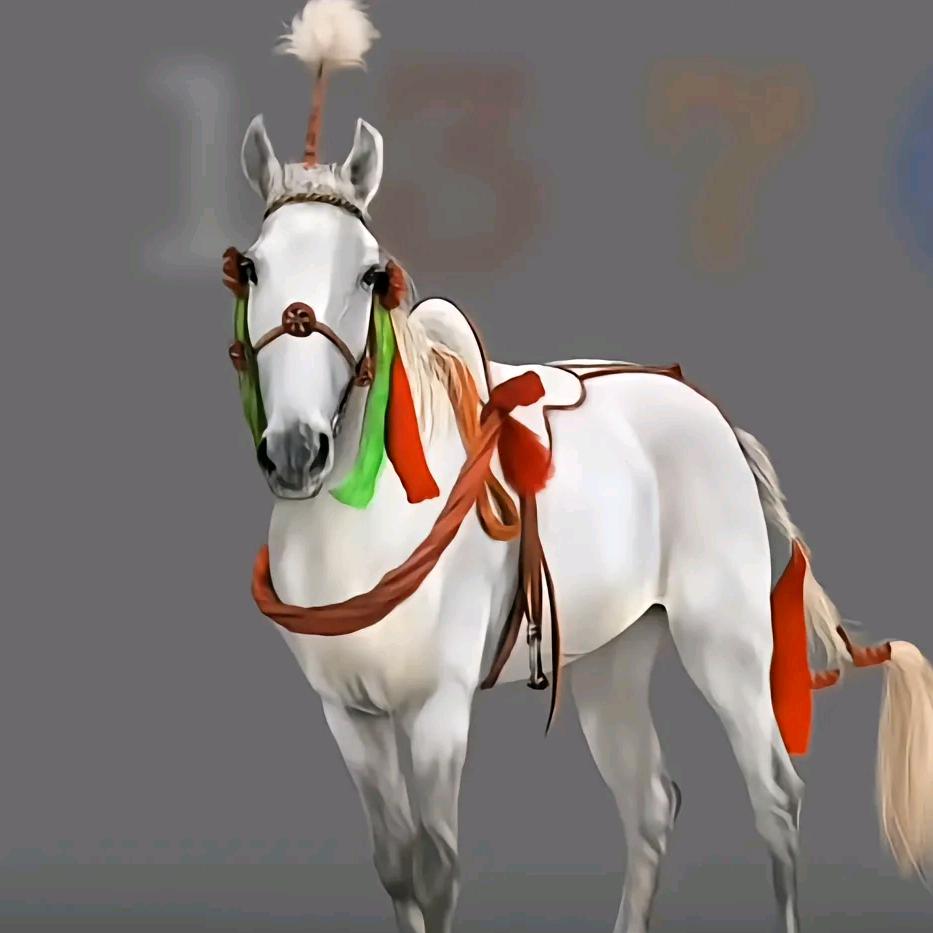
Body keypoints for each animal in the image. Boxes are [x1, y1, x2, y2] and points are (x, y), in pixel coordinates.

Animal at [221, 3, 933, 931]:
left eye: (372, 273)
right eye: (251, 266)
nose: (296, 450)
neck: (365, 527)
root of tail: (711, 415)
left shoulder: (437, 709)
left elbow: (434, 867)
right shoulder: (350, 714)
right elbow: (394, 867)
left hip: (727, 642)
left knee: (775, 795)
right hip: (610, 659)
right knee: (650, 803)